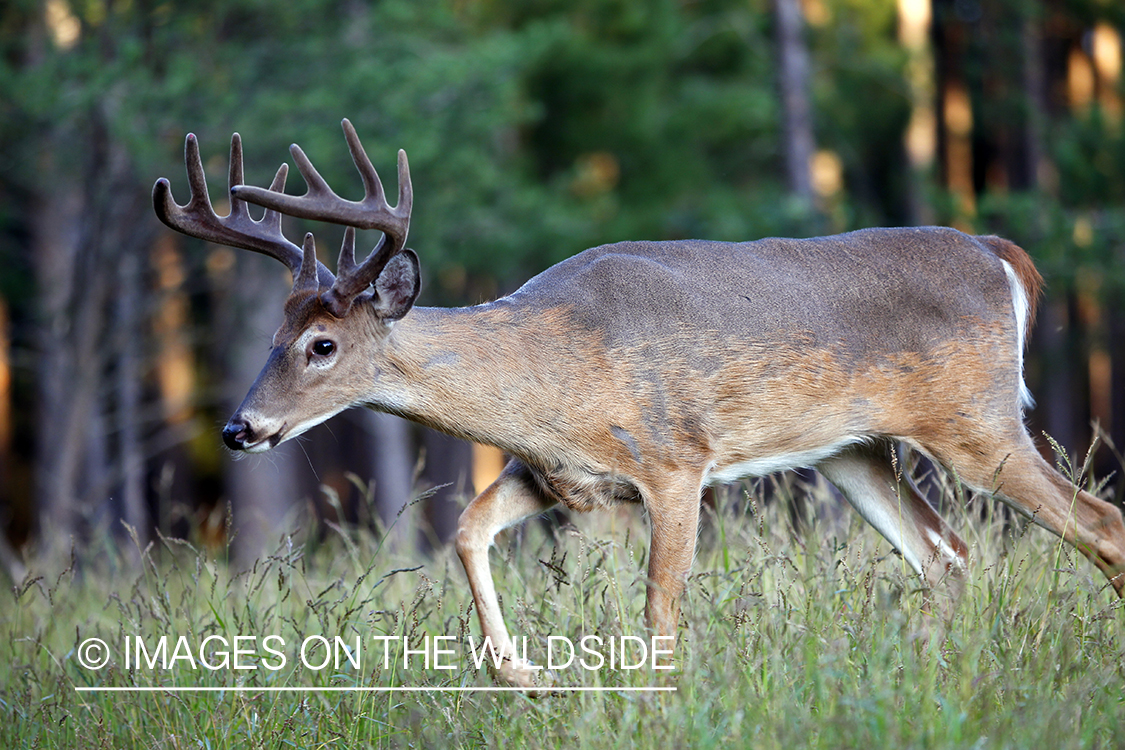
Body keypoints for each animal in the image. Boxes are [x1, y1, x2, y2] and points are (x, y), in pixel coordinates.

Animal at [154, 120, 1125, 688]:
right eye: (272, 335)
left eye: (322, 345)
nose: (240, 428)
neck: (547, 376)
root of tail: (998, 253)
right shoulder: (558, 475)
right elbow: (466, 532)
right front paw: (527, 678)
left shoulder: (673, 459)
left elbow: (659, 603)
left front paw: (655, 703)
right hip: (852, 449)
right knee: (946, 554)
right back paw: (920, 677)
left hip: (977, 420)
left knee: (1097, 522)